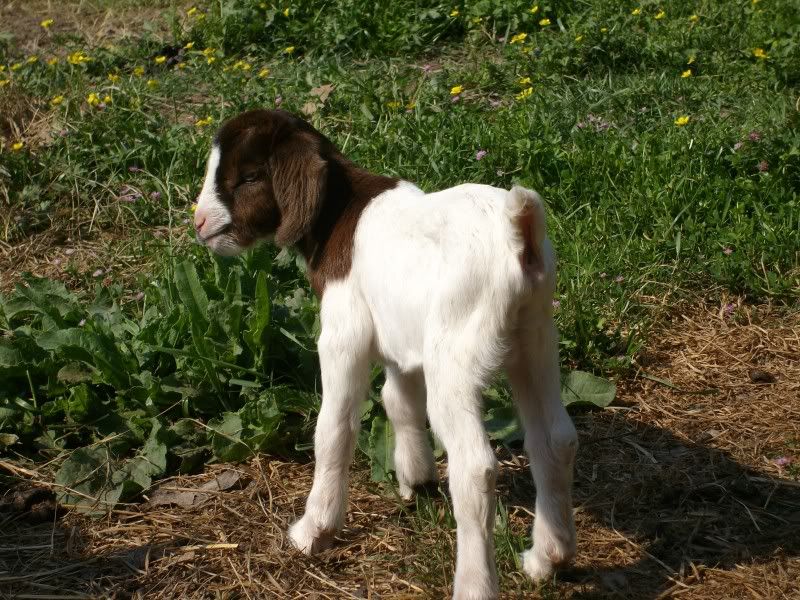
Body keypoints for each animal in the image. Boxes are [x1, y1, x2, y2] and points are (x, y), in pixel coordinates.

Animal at [193, 109, 578, 599]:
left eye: (248, 177)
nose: (199, 222)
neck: (338, 213)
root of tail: (520, 232)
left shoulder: (344, 334)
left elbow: (334, 429)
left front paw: (314, 529)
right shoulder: (400, 338)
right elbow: (399, 402)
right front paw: (415, 477)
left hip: (455, 353)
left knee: (475, 467)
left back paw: (474, 584)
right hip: (535, 340)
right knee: (555, 438)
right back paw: (549, 557)